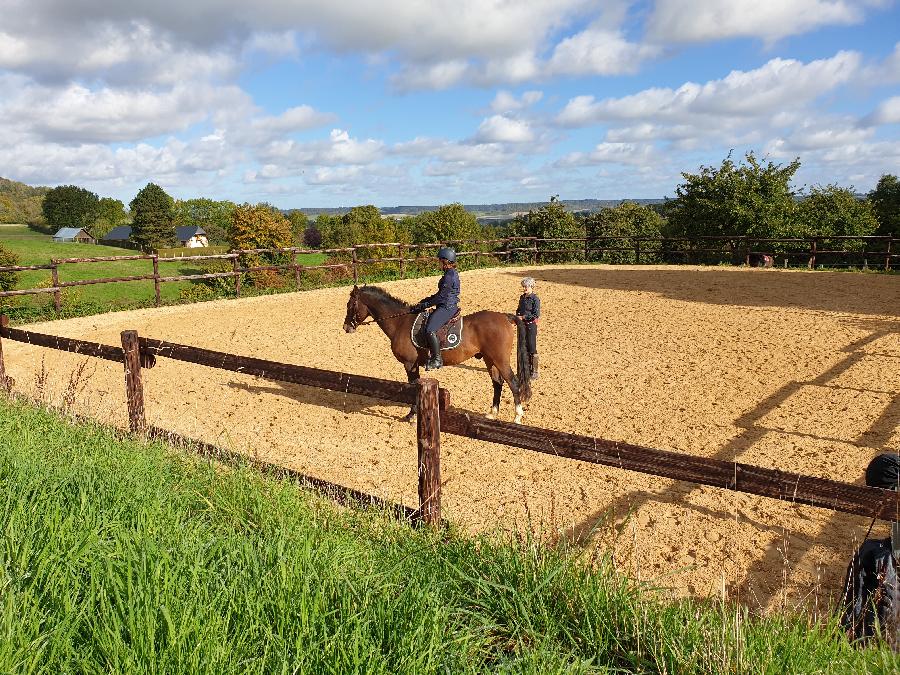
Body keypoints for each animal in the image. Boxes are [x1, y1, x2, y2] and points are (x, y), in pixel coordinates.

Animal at [342, 286, 532, 422]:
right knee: (497, 383)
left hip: (500, 360)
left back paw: (517, 417)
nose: (346, 327)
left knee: (513, 383)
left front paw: (411, 415)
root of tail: (504, 317)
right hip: (489, 359)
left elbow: (413, 388)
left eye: (351, 305)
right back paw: (493, 413)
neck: (400, 322)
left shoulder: (410, 364)